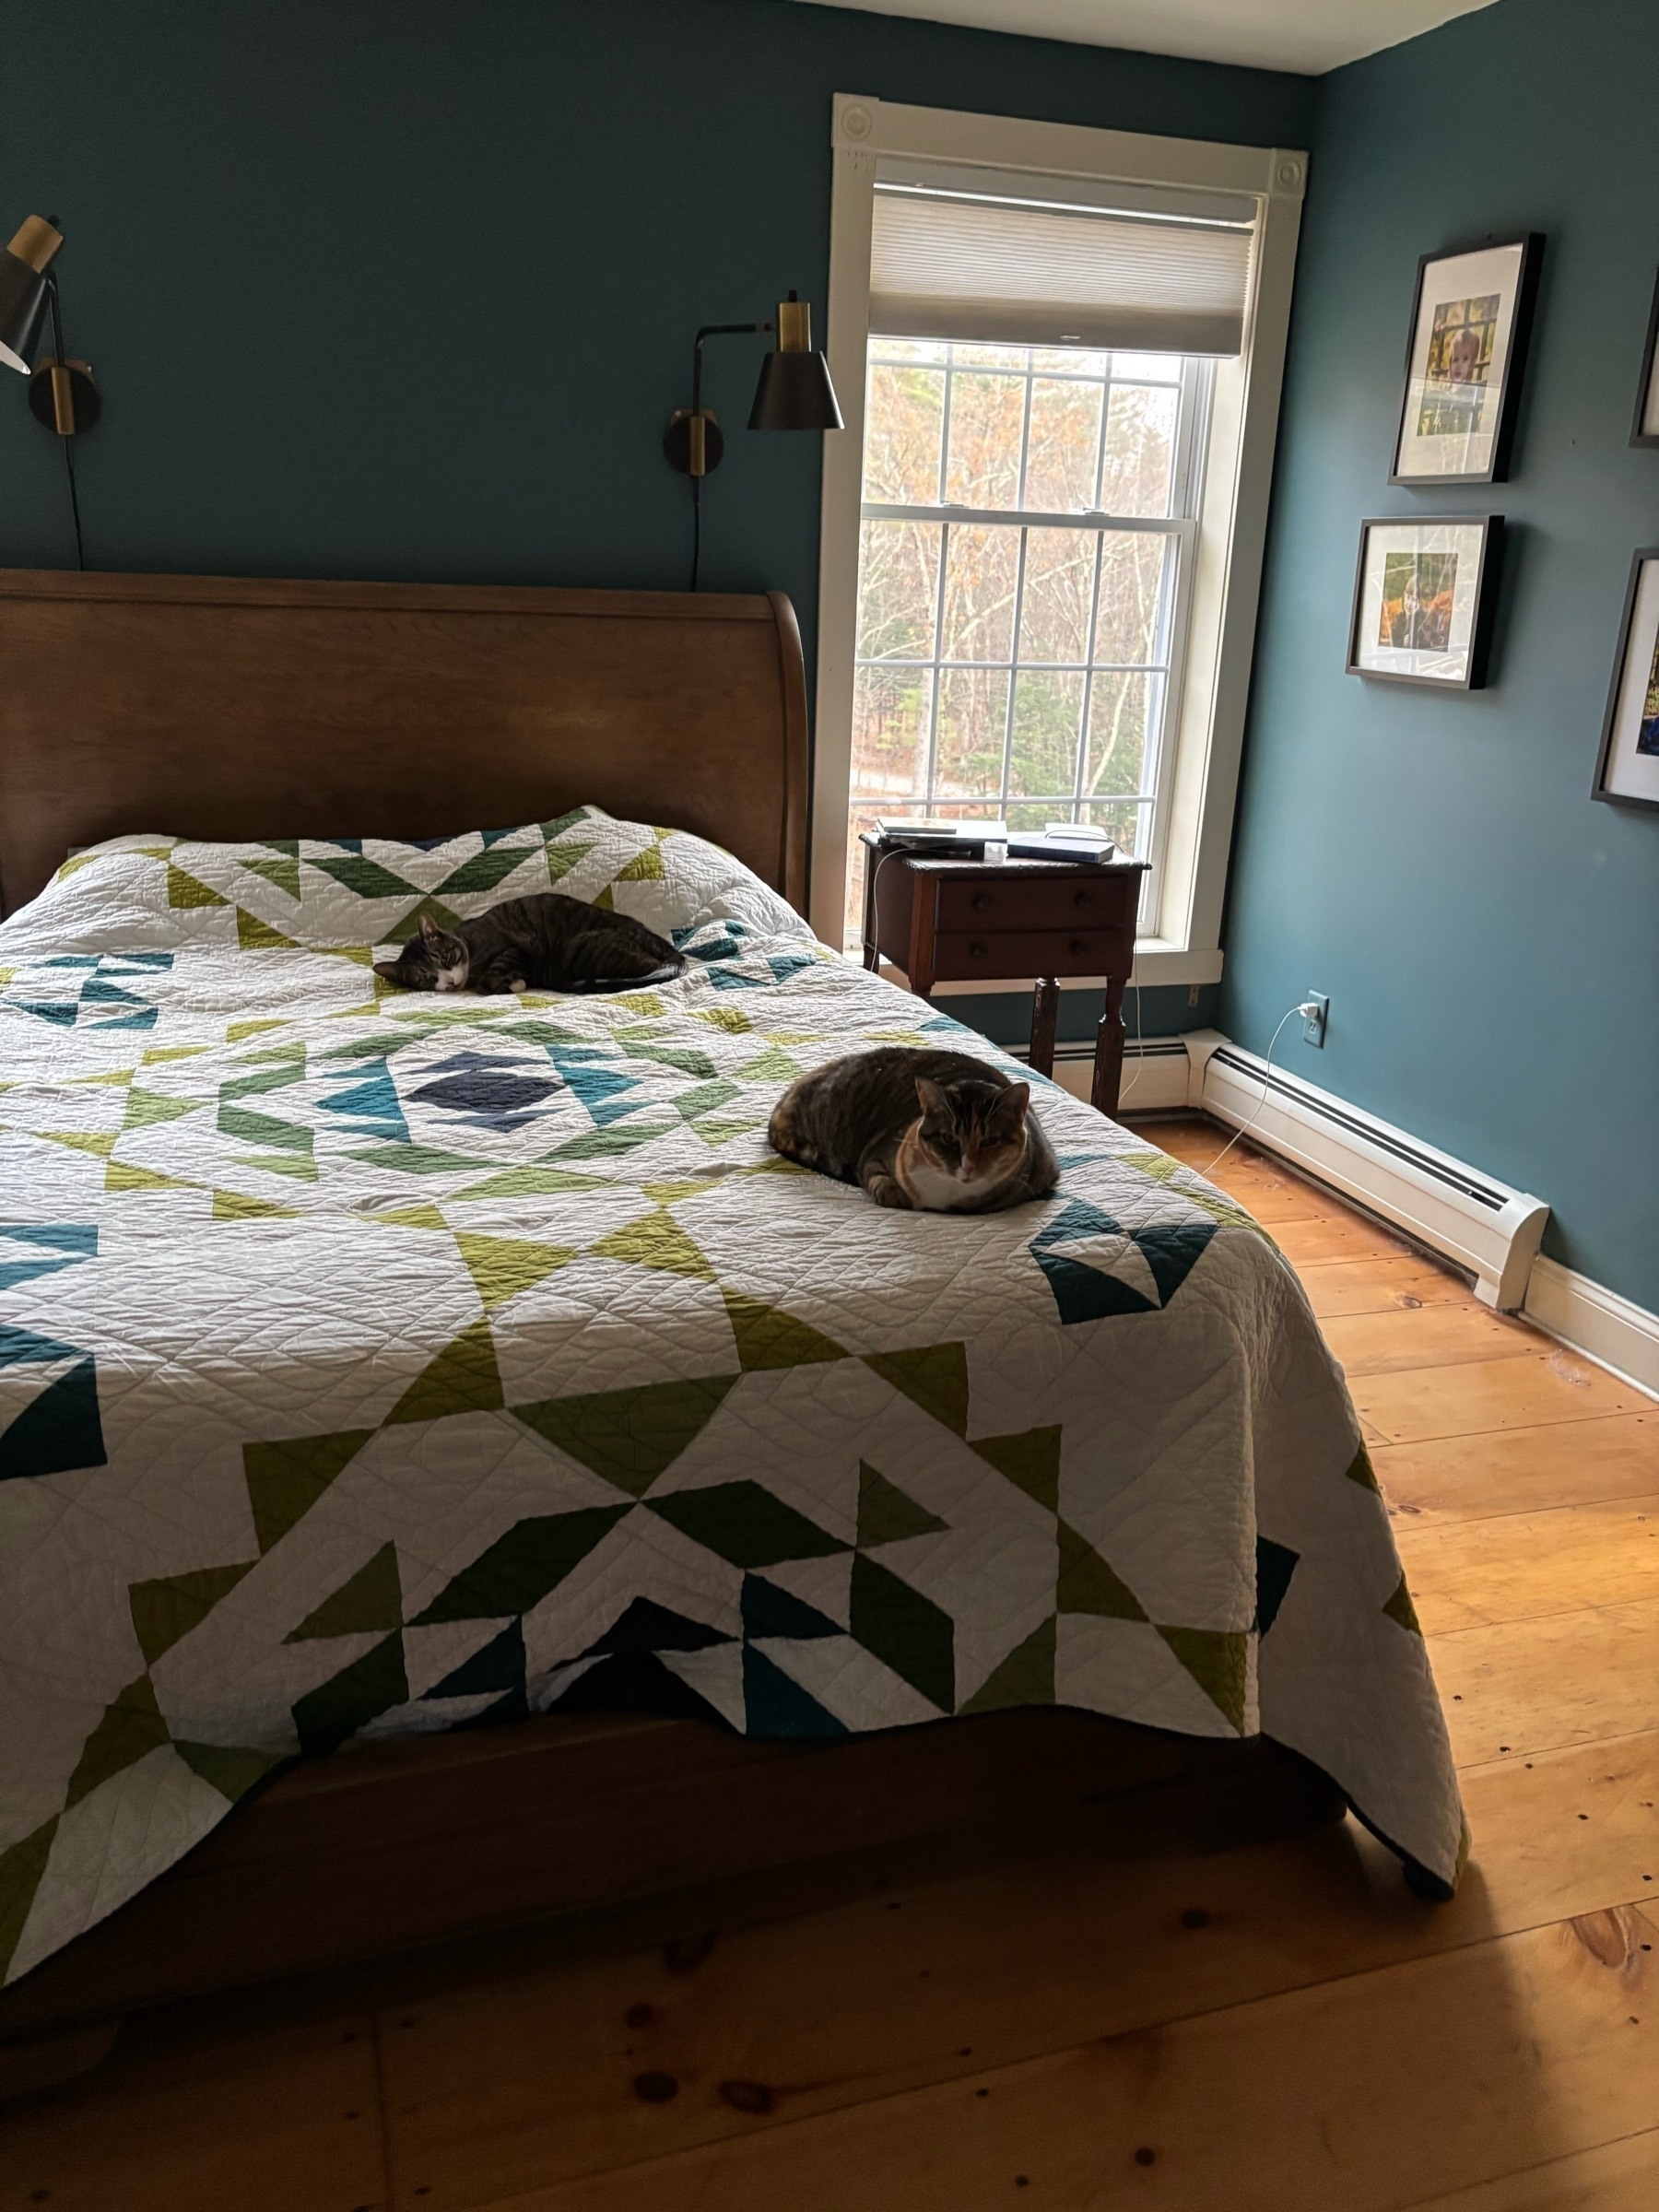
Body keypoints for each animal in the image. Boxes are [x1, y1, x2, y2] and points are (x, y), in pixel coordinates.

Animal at [373, 898, 686, 1004]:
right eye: (426, 978)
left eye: (445, 958)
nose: (448, 982)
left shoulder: (518, 947)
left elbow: (491, 980)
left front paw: (515, 985)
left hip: (582, 947)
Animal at [774, 1040, 1057, 1212]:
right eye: (949, 1139)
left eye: (989, 1141)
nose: (968, 1166)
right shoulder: (876, 1153)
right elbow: (877, 1178)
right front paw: (894, 1194)